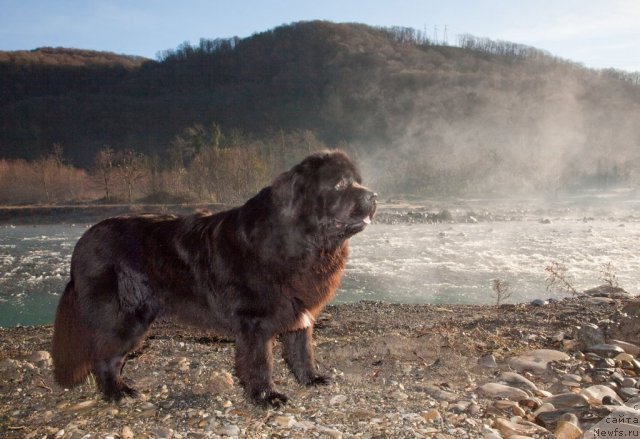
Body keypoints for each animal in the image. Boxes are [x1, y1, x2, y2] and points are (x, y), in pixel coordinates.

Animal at [55, 150, 378, 408]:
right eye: (339, 184)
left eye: (358, 181)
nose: (373, 195)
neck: (299, 241)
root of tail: (81, 243)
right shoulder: (254, 321)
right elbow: (260, 362)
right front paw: (267, 396)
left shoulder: (299, 310)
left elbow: (302, 351)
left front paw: (310, 380)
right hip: (124, 318)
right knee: (105, 357)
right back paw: (117, 393)